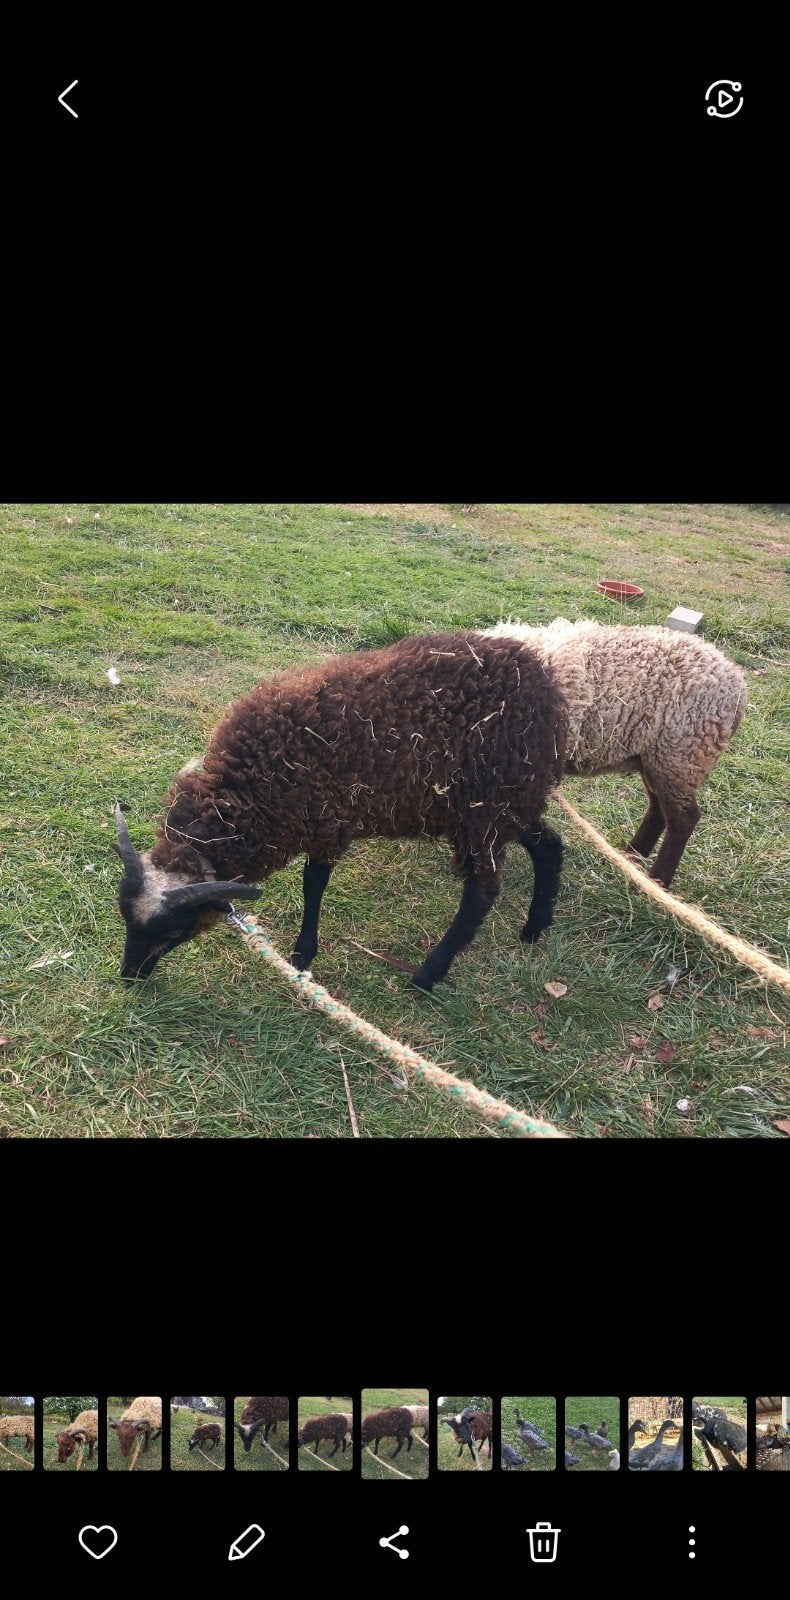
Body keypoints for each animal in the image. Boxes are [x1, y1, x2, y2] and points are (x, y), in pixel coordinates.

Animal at [114, 631, 568, 992]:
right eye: (123, 913)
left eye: (175, 928)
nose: (130, 975)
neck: (243, 792)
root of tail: (542, 682)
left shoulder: (325, 821)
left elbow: (313, 884)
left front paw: (302, 955)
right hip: (499, 804)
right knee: (549, 843)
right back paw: (535, 926)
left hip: (484, 808)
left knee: (482, 892)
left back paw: (428, 975)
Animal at [484, 618, 746, 886]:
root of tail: (736, 680)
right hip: (653, 758)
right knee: (658, 809)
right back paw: (633, 856)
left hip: (680, 756)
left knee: (684, 819)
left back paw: (657, 880)